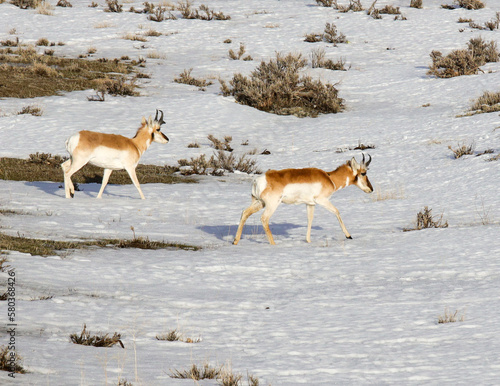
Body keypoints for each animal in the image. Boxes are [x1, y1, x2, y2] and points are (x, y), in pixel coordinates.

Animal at [233, 154, 372, 244]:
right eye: (363, 173)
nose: (371, 189)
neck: (329, 178)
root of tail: (259, 180)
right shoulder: (322, 200)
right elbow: (337, 212)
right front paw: (349, 236)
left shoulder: (310, 204)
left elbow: (310, 219)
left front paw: (308, 241)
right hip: (272, 204)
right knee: (264, 219)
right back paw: (273, 244)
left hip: (259, 203)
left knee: (245, 213)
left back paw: (235, 241)